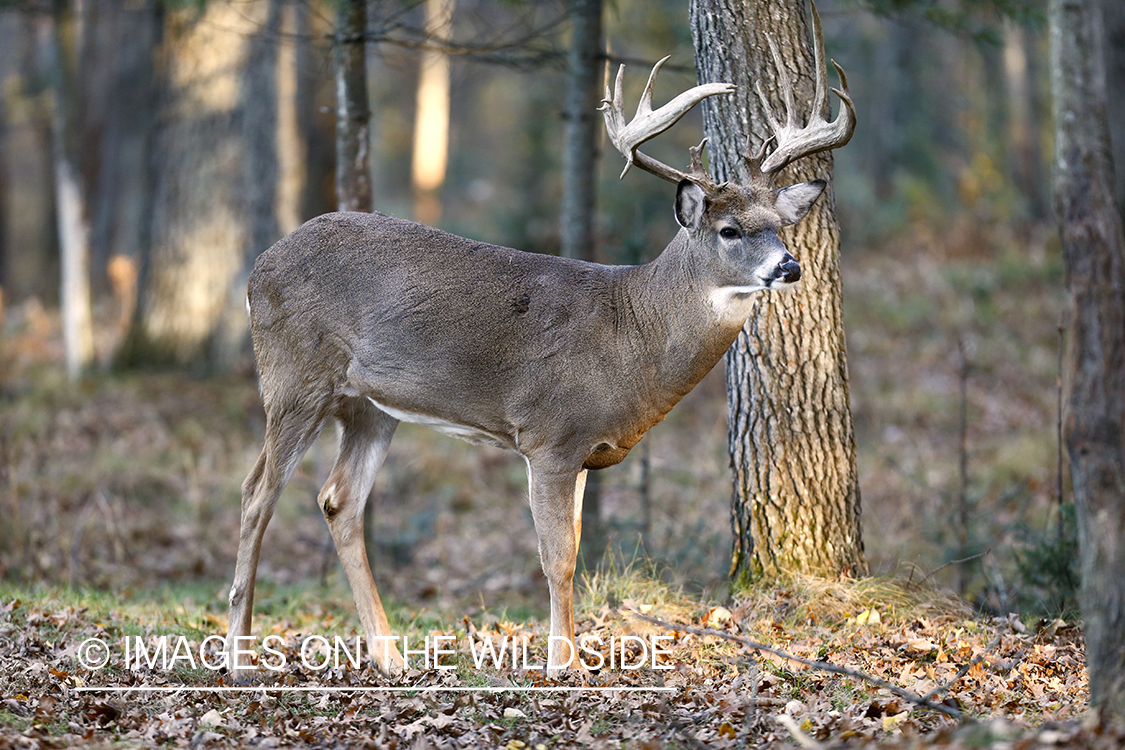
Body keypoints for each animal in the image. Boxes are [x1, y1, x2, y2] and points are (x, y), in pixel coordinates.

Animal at [221, 5, 850, 679]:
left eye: (780, 225)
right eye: (730, 229)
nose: (790, 266)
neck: (631, 334)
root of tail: (257, 268)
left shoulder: (584, 447)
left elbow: (569, 549)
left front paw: (567, 655)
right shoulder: (549, 435)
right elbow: (559, 557)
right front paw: (561, 665)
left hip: (370, 405)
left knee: (338, 500)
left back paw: (389, 658)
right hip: (294, 375)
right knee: (256, 493)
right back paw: (239, 658)